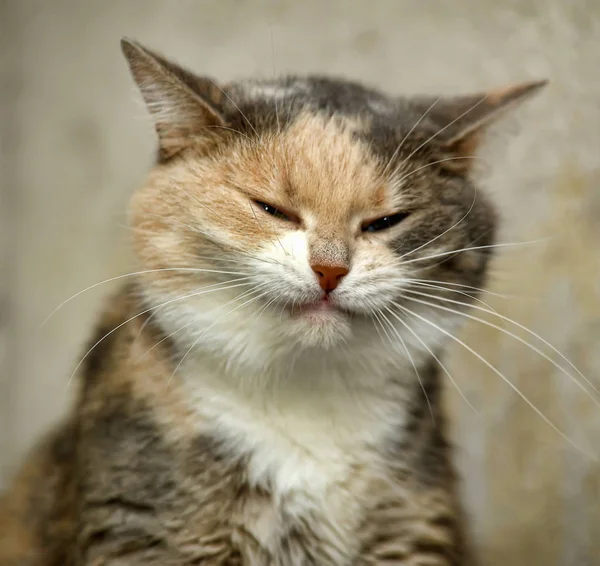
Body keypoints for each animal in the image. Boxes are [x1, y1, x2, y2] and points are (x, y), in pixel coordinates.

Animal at [0, 37, 548, 564]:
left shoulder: (413, 527)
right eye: (272, 209)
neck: (302, 396)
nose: (330, 269)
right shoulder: (138, 522)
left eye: (386, 222)